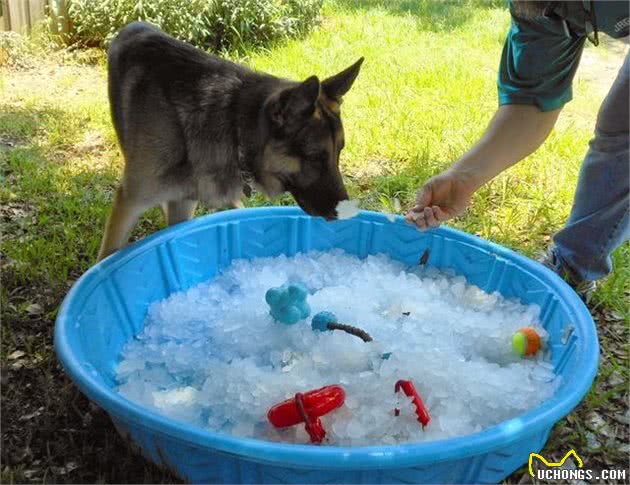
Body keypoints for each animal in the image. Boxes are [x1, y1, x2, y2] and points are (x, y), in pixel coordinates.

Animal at [99, 22, 366, 260]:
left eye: (339, 152)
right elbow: (107, 256)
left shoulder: (183, 202)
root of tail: (135, 25)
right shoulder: (129, 204)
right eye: (313, 157)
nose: (343, 215)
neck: (234, 127)